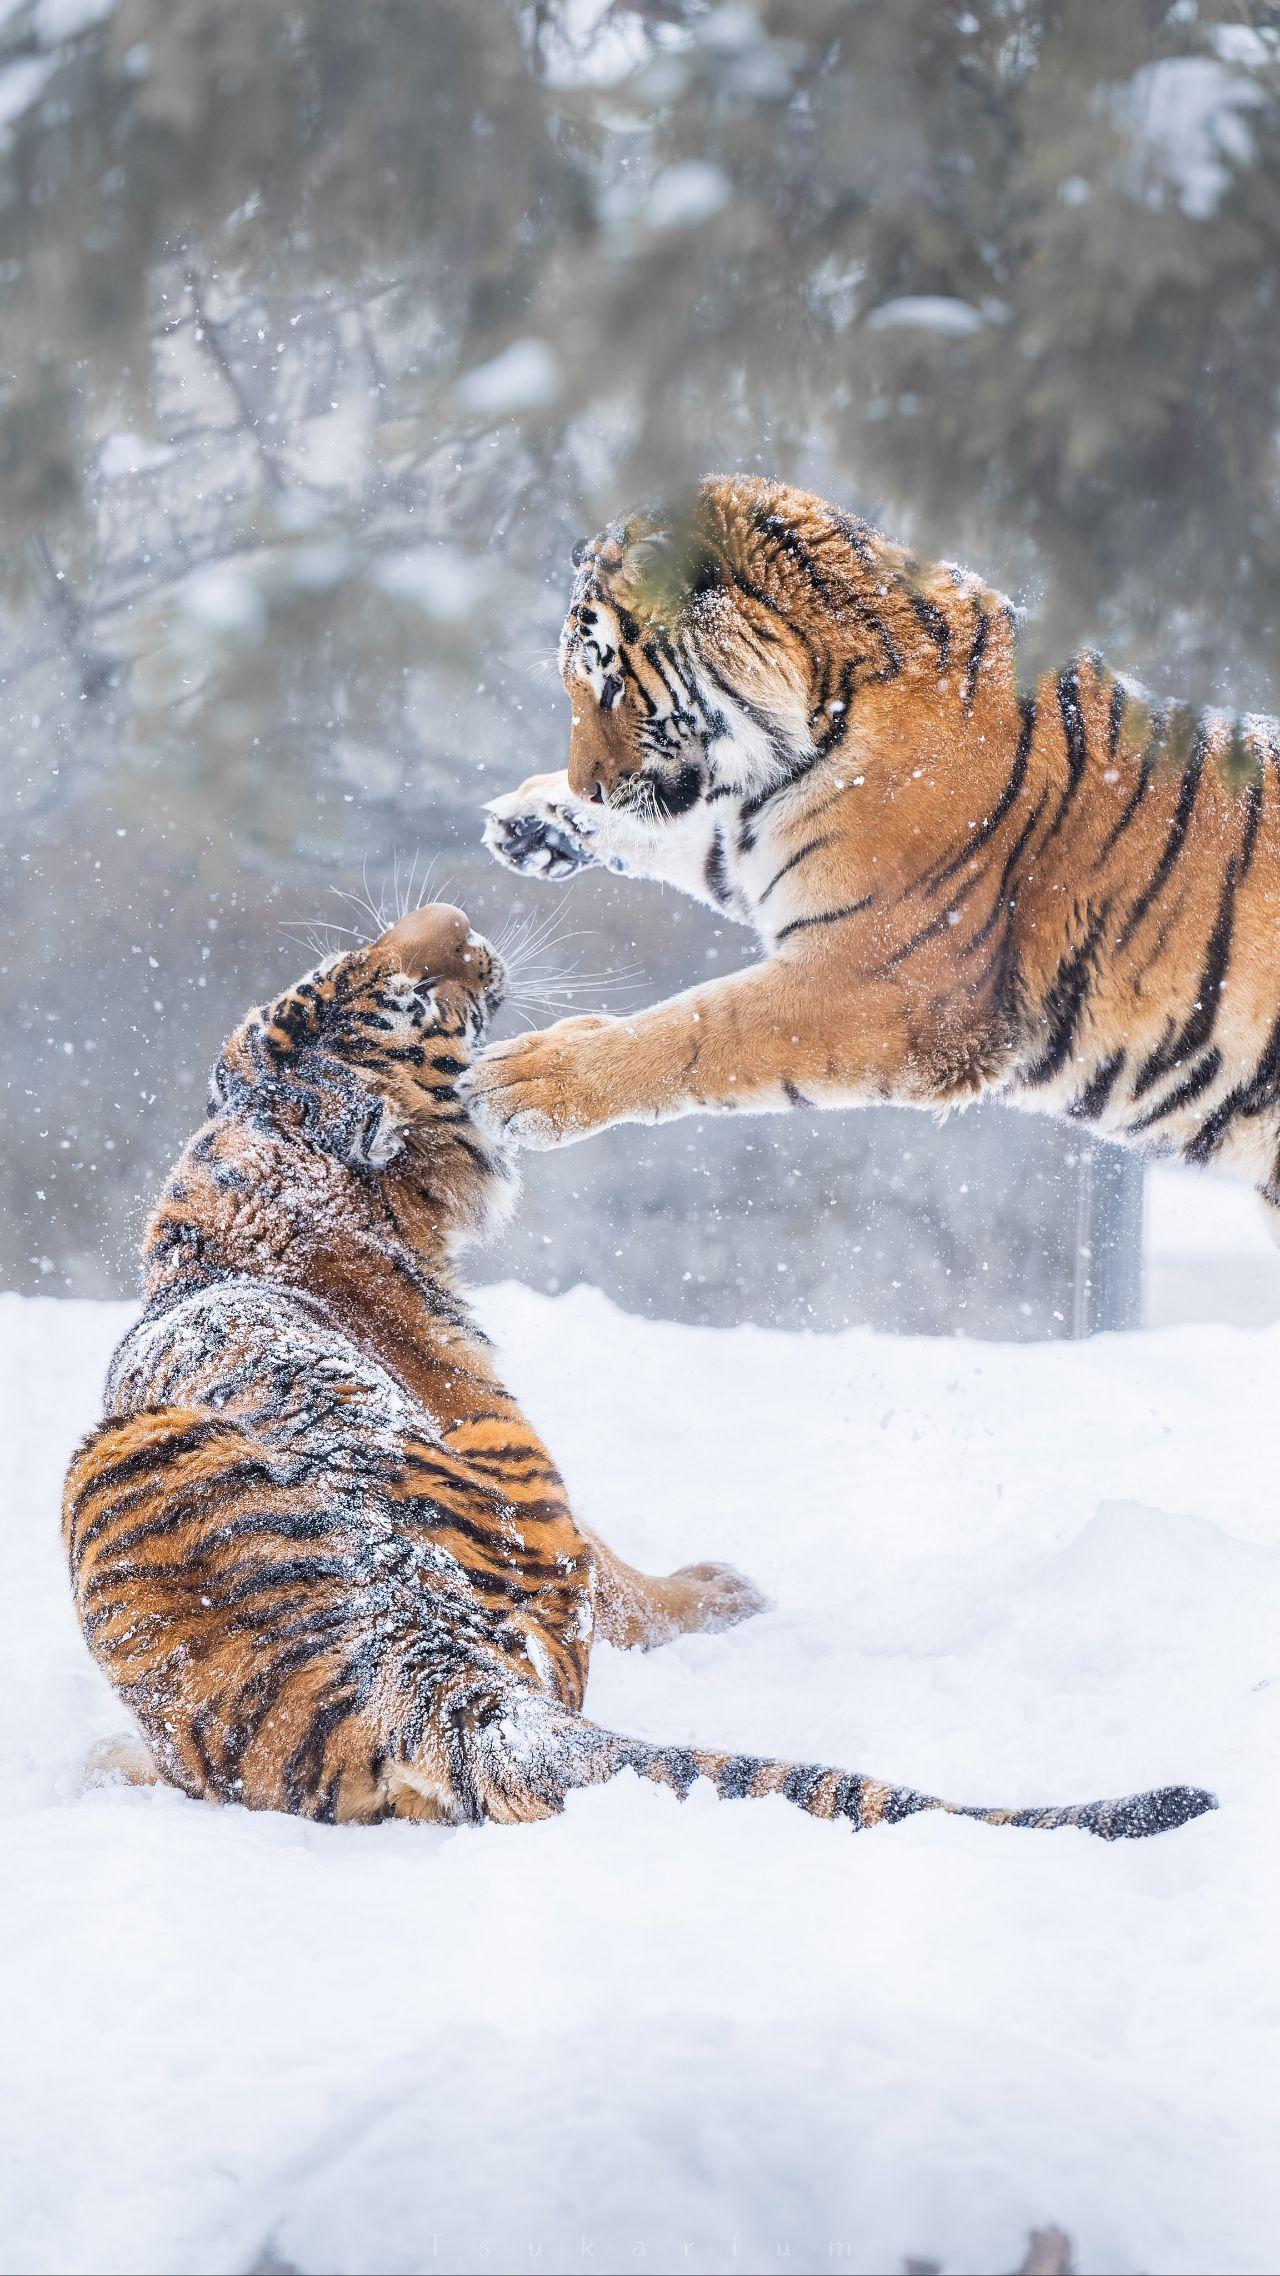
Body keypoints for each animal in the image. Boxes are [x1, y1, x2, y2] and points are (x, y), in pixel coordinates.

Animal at [473, 471, 1275, 1219]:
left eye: (608, 685)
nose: (589, 787)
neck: (820, 710)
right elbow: (694, 839)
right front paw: (532, 817)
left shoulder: (890, 982)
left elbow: (701, 1026)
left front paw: (526, 1077)